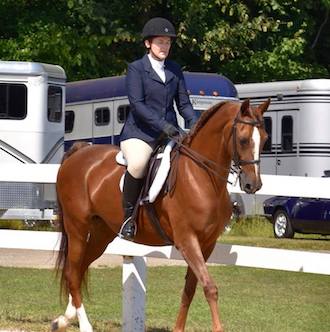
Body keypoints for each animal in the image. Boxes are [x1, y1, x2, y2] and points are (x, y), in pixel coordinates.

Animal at [51, 99, 268, 332]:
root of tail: (78, 153)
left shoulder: (206, 243)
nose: (253, 185)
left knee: (80, 269)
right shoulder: (187, 240)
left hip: (102, 233)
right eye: (243, 140)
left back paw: (63, 319)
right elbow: (210, 287)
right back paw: (84, 325)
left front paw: (178, 328)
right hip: (77, 228)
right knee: (73, 272)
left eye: (265, 139)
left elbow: (189, 289)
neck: (201, 176)